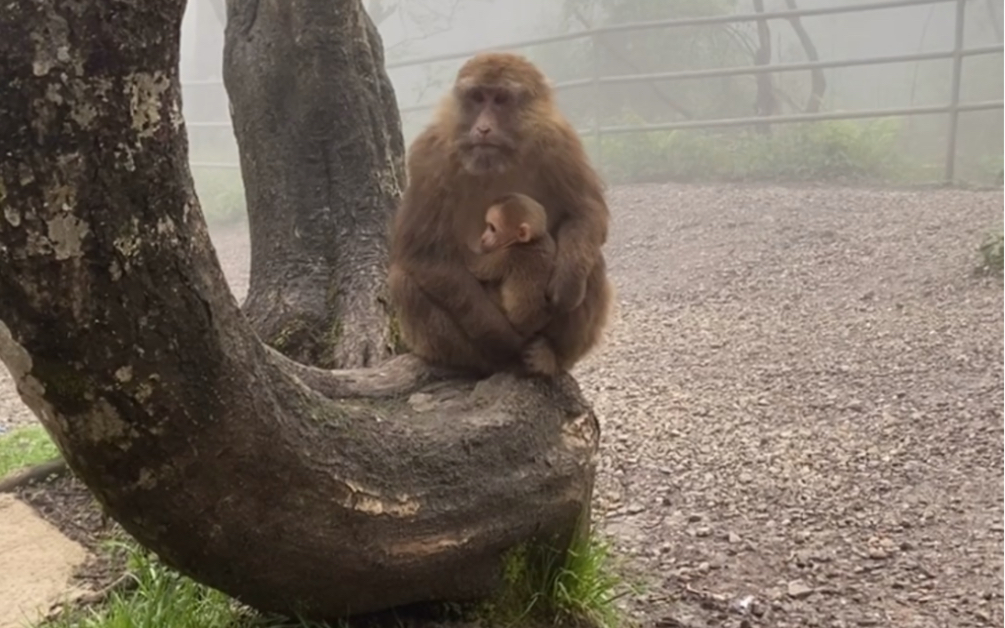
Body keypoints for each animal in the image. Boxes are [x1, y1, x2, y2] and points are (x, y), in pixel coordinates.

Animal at [468, 193, 562, 373]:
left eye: (492, 228)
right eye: (487, 226)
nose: (483, 238)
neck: (529, 242)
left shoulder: (507, 256)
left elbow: (476, 268)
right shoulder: (547, 241)